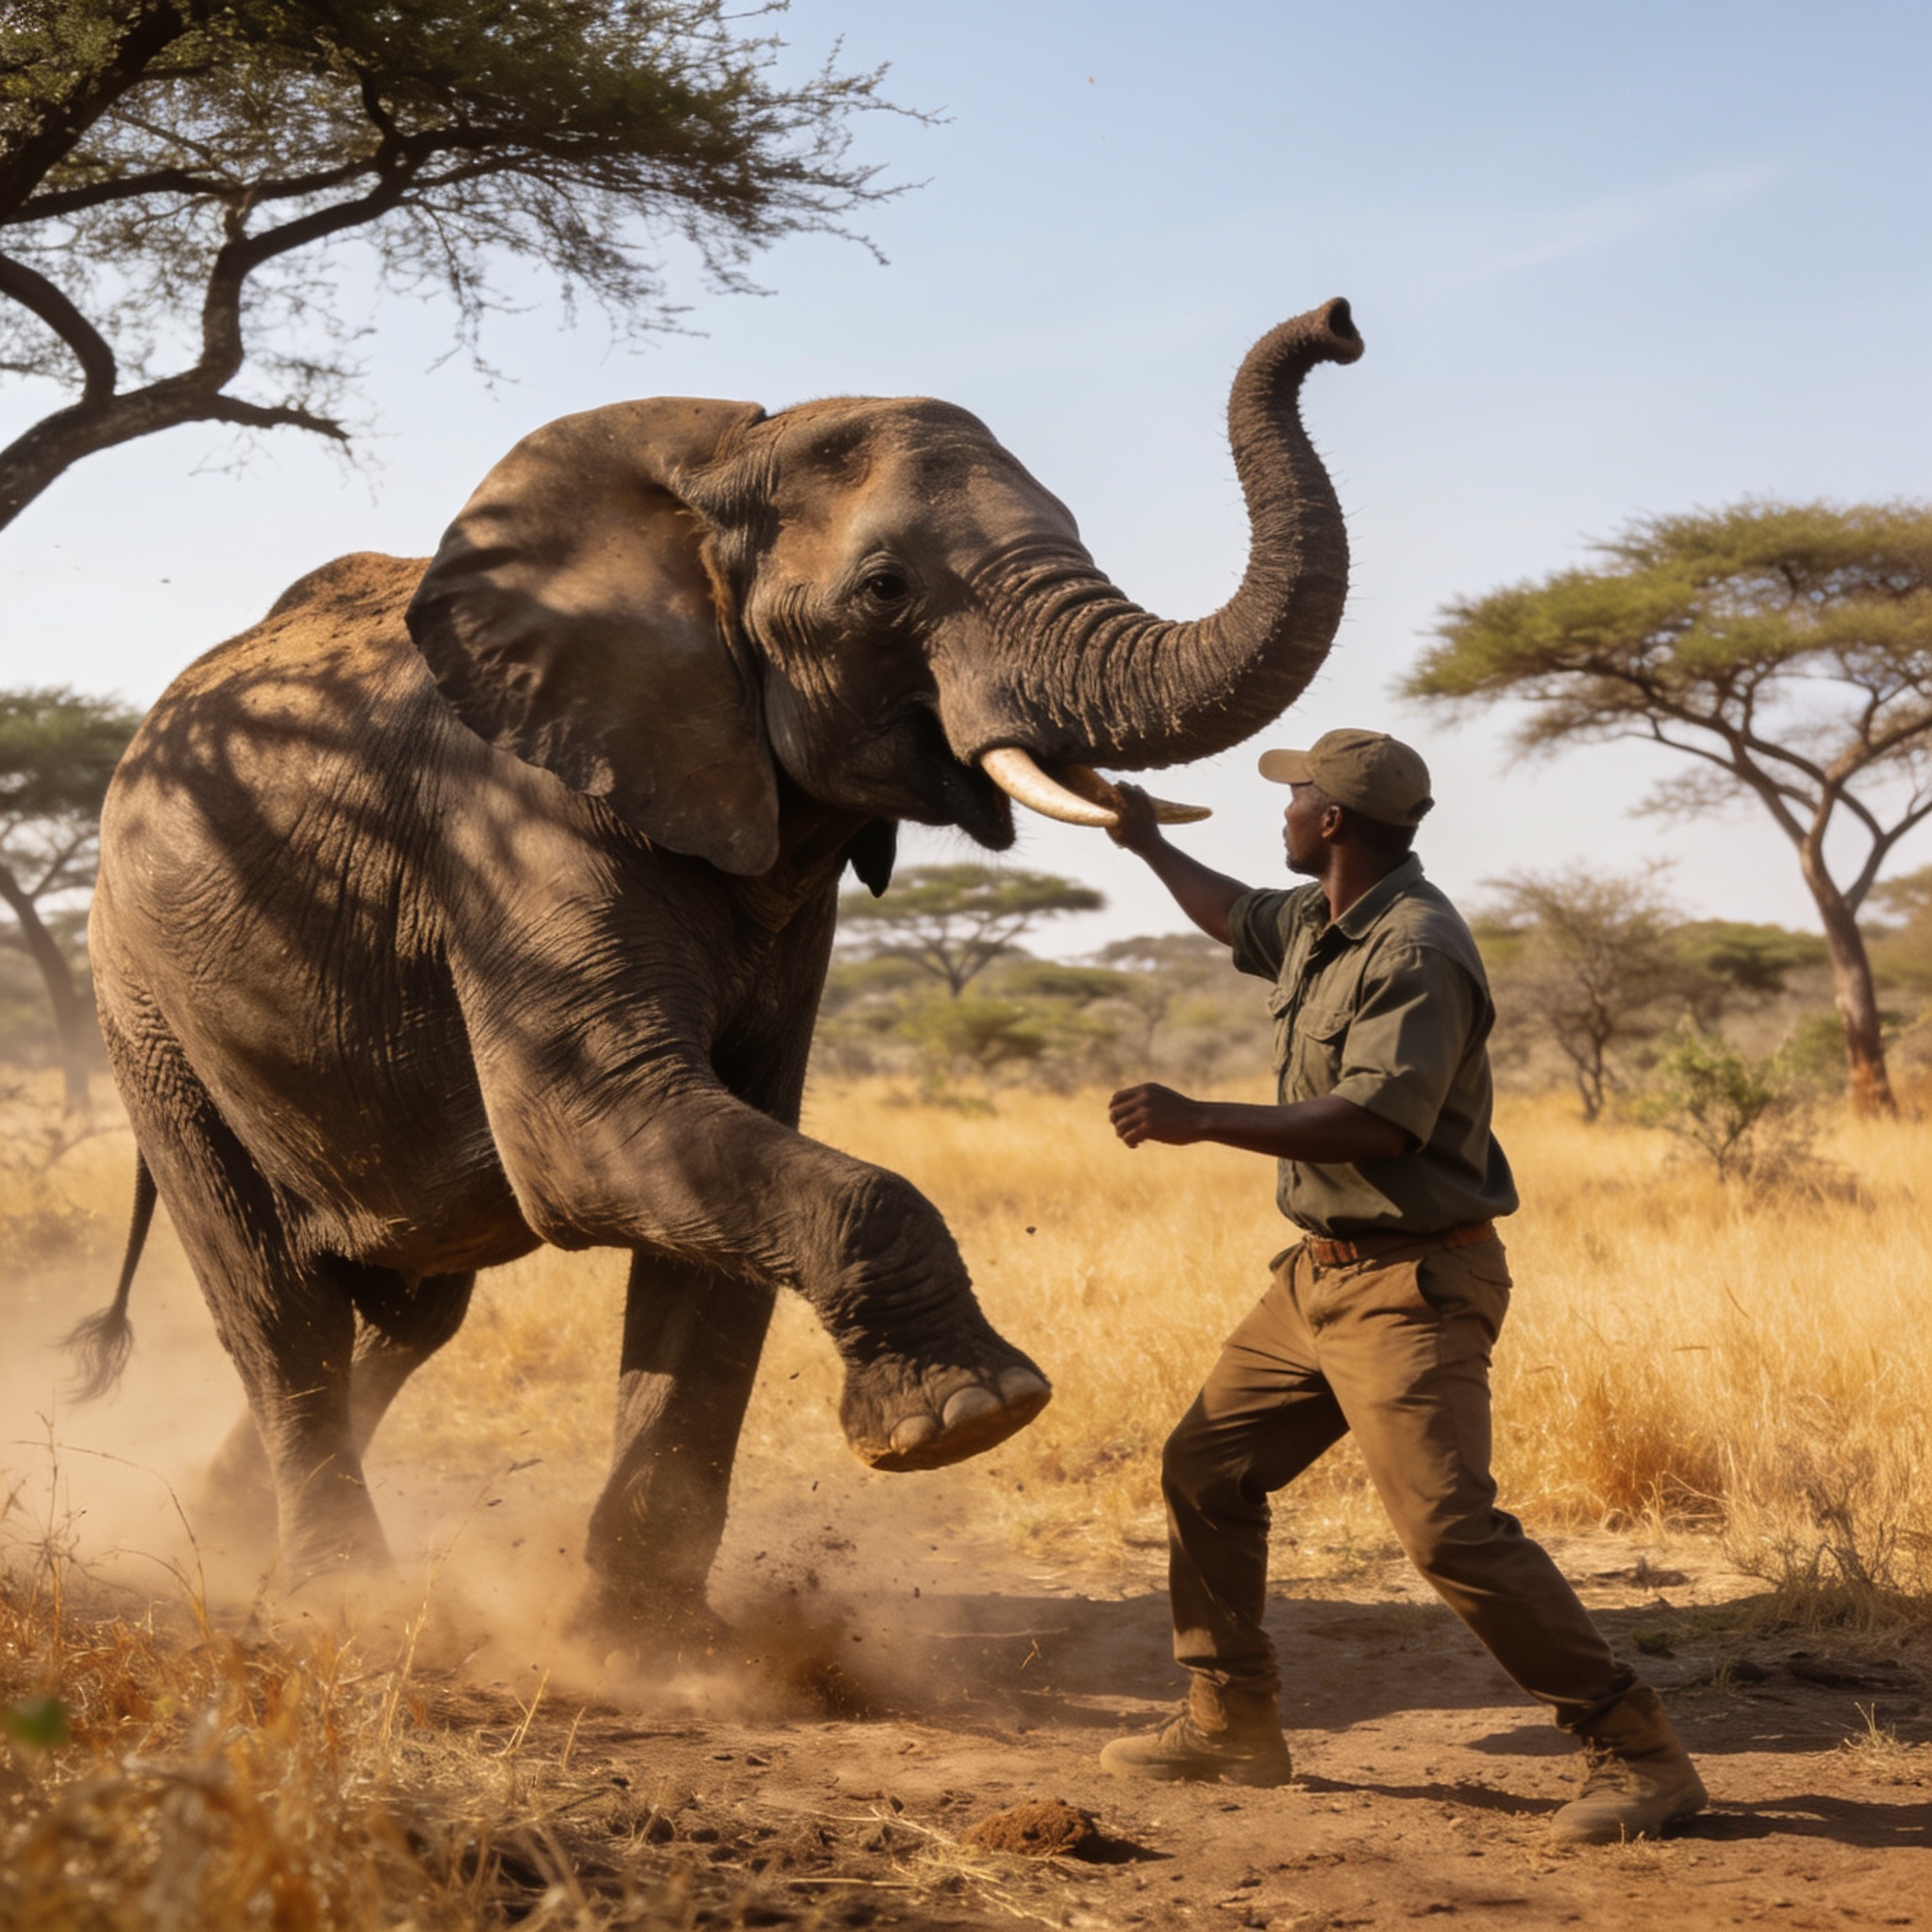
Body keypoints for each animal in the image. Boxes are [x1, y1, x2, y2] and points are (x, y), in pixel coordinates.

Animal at [74, 299, 1364, 1641]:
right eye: (884, 589)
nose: (1336, 323)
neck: (707, 485)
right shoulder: (512, 819)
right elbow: (588, 1140)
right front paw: (969, 1416)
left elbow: (724, 1182)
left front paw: (645, 1644)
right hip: (140, 998)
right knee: (282, 1306)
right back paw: (340, 1597)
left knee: (414, 1297)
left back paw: (231, 1520)